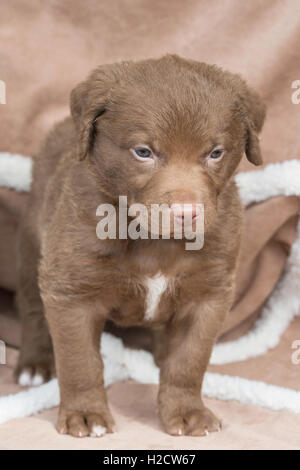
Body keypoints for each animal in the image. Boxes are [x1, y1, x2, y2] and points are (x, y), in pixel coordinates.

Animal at [15, 55, 264, 436]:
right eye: (143, 152)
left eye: (215, 153)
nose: (186, 212)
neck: (153, 240)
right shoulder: (73, 291)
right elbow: (80, 361)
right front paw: (85, 414)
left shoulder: (208, 294)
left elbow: (189, 360)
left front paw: (187, 411)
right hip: (33, 246)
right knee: (30, 305)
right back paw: (34, 363)